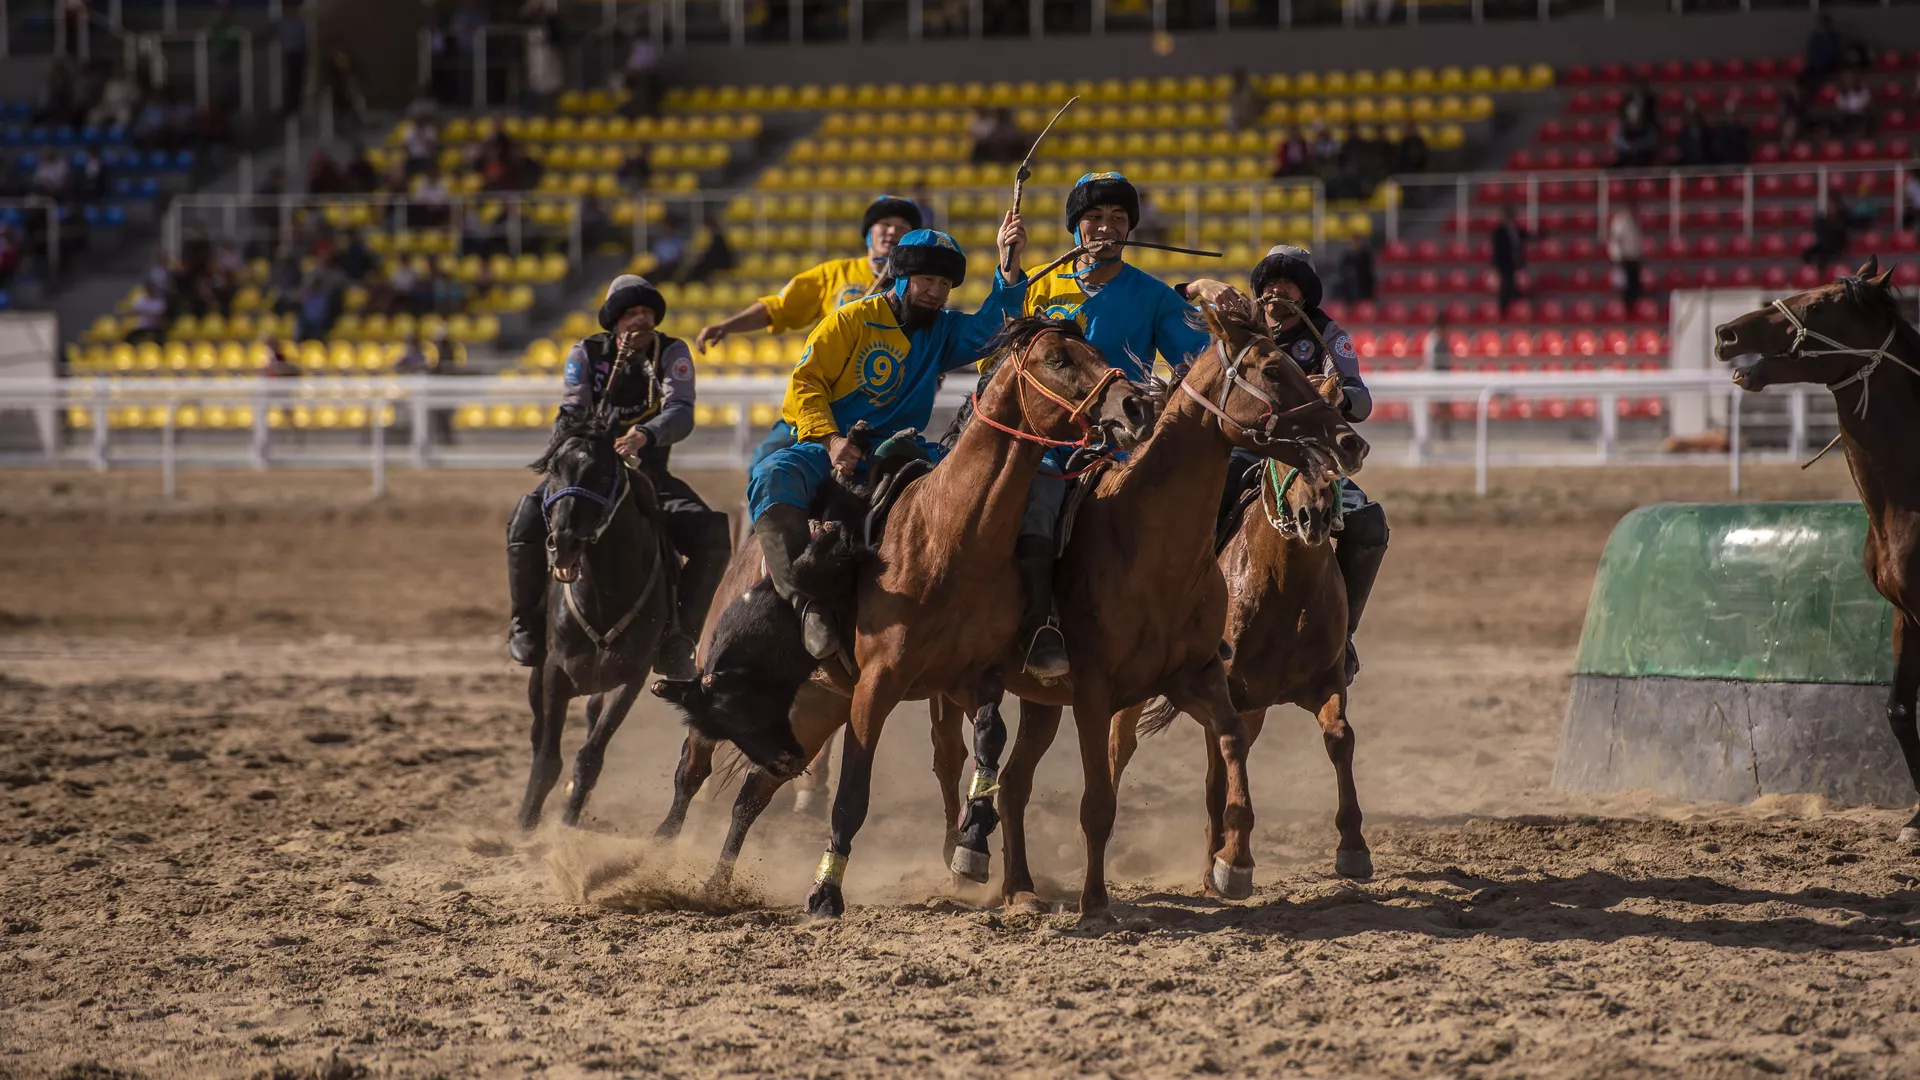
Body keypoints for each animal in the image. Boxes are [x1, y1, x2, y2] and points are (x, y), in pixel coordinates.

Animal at [518, 413, 802, 834]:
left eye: (605, 474)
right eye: (555, 468)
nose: (563, 543)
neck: (603, 596)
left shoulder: (631, 678)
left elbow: (590, 755)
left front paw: (569, 819)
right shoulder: (555, 670)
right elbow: (547, 755)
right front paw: (527, 821)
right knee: (539, 731)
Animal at [652, 317, 1152, 907]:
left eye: (1093, 348)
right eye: (1058, 359)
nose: (1136, 405)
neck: (951, 537)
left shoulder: (973, 678)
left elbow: (989, 743)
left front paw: (972, 843)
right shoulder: (876, 686)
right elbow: (853, 792)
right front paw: (826, 892)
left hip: (807, 709)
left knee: (754, 791)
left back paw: (717, 884)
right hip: (731, 689)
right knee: (691, 770)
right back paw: (655, 858)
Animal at [1121, 378, 1374, 883]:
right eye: (1288, 451)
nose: (1314, 517)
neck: (1286, 588)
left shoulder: (1325, 682)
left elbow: (1340, 738)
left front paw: (1353, 845)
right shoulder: (1226, 695)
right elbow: (1224, 773)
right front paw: (1232, 860)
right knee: (1122, 748)